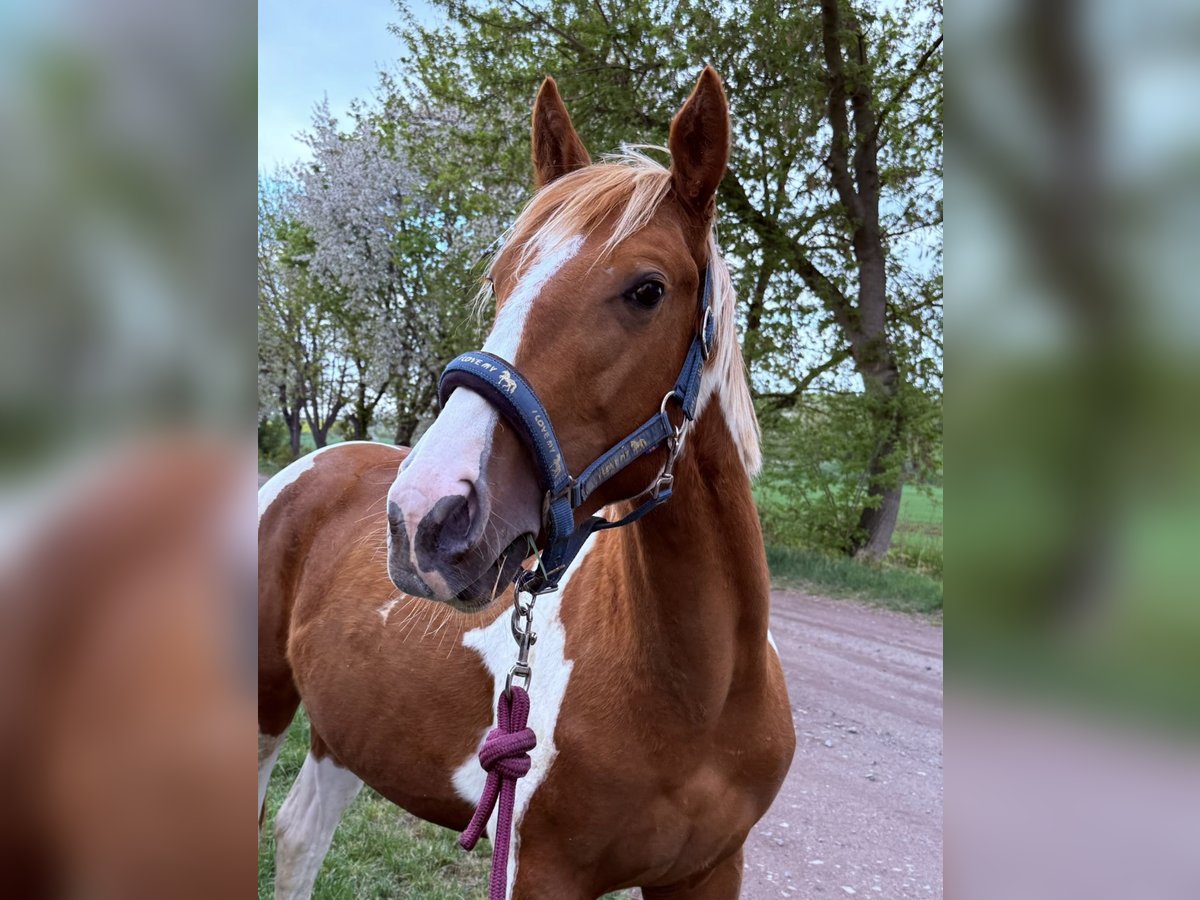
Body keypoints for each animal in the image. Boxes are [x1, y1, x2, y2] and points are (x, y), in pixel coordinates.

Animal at [258, 67, 795, 899]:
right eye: (502, 277)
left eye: (647, 289)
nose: (425, 518)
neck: (700, 700)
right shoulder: (538, 868)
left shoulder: (711, 871)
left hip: (345, 731)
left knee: (300, 836)